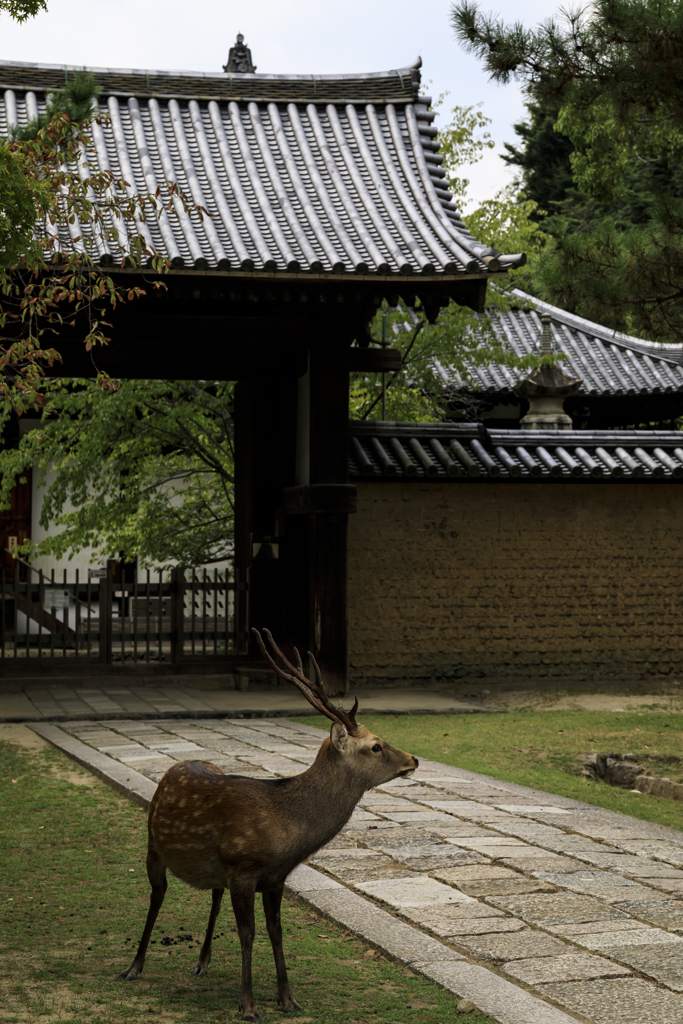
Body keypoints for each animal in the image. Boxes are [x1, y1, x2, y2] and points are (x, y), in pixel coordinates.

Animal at [118, 626, 417, 1019]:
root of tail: (174, 768)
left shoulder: (276, 878)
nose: (414, 759)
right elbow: (248, 933)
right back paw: (134, 966)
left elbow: (276, 931)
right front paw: (248, 1005)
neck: (286, 833)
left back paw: (202, 961)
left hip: (214, 871)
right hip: (153, 846)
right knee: (157, 895)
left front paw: (288, 999)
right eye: (376, 746)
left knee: (213, 895)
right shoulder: (243, 869)